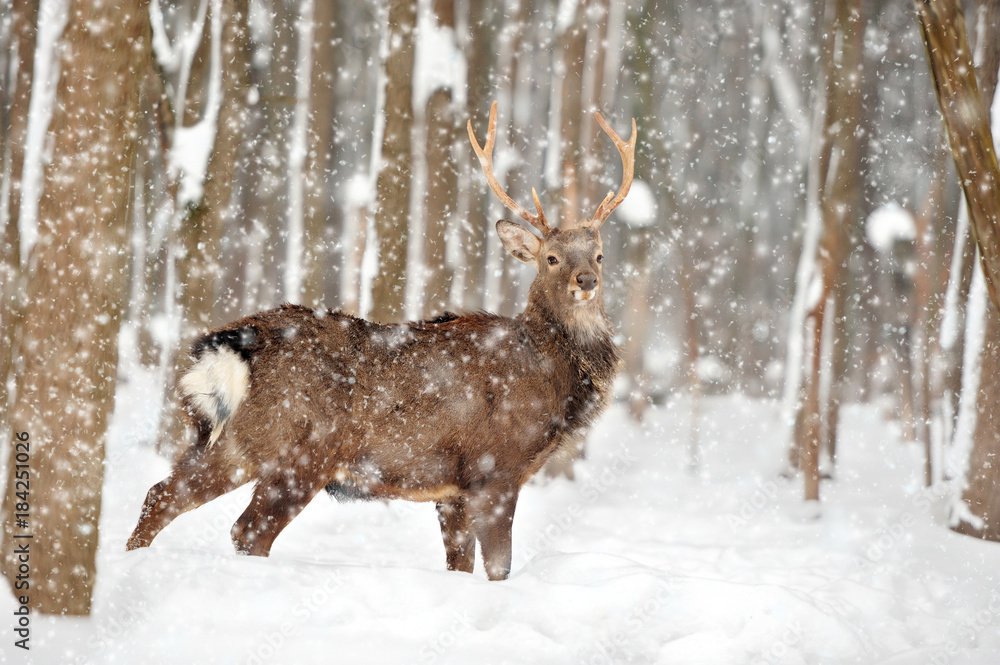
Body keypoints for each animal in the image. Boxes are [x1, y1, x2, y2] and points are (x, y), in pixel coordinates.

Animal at [129, 101, 636, 580]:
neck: (552, 380)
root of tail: (236, 344)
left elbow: (460, 564)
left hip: (233, 442)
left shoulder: (453, 490)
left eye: (599, 255)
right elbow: (499, 568)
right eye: (551, 258)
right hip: (303, 451)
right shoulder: (496, 470)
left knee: (161, 494)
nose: (586, 280)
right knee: (247, 529)